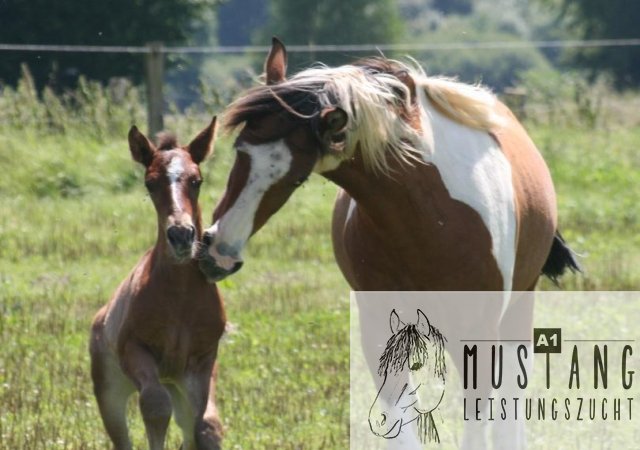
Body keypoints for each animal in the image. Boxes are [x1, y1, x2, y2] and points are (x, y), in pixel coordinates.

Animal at [89, 118, 225, 450]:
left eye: (197, 180)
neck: (180, 299)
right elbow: (154, 405)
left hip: (177, 382)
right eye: (150, 183)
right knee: (121, 434)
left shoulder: (202, 360)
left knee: (193, 424)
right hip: (110, 388)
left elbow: (205, 424)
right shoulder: (135, 350)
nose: (181, 235)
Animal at [199, 38, 580, 446]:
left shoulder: (478, 335)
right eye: (240, 150)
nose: (218, 251)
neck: (427, 217)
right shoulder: (382, 333)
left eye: (296, 175)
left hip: (519, 307)